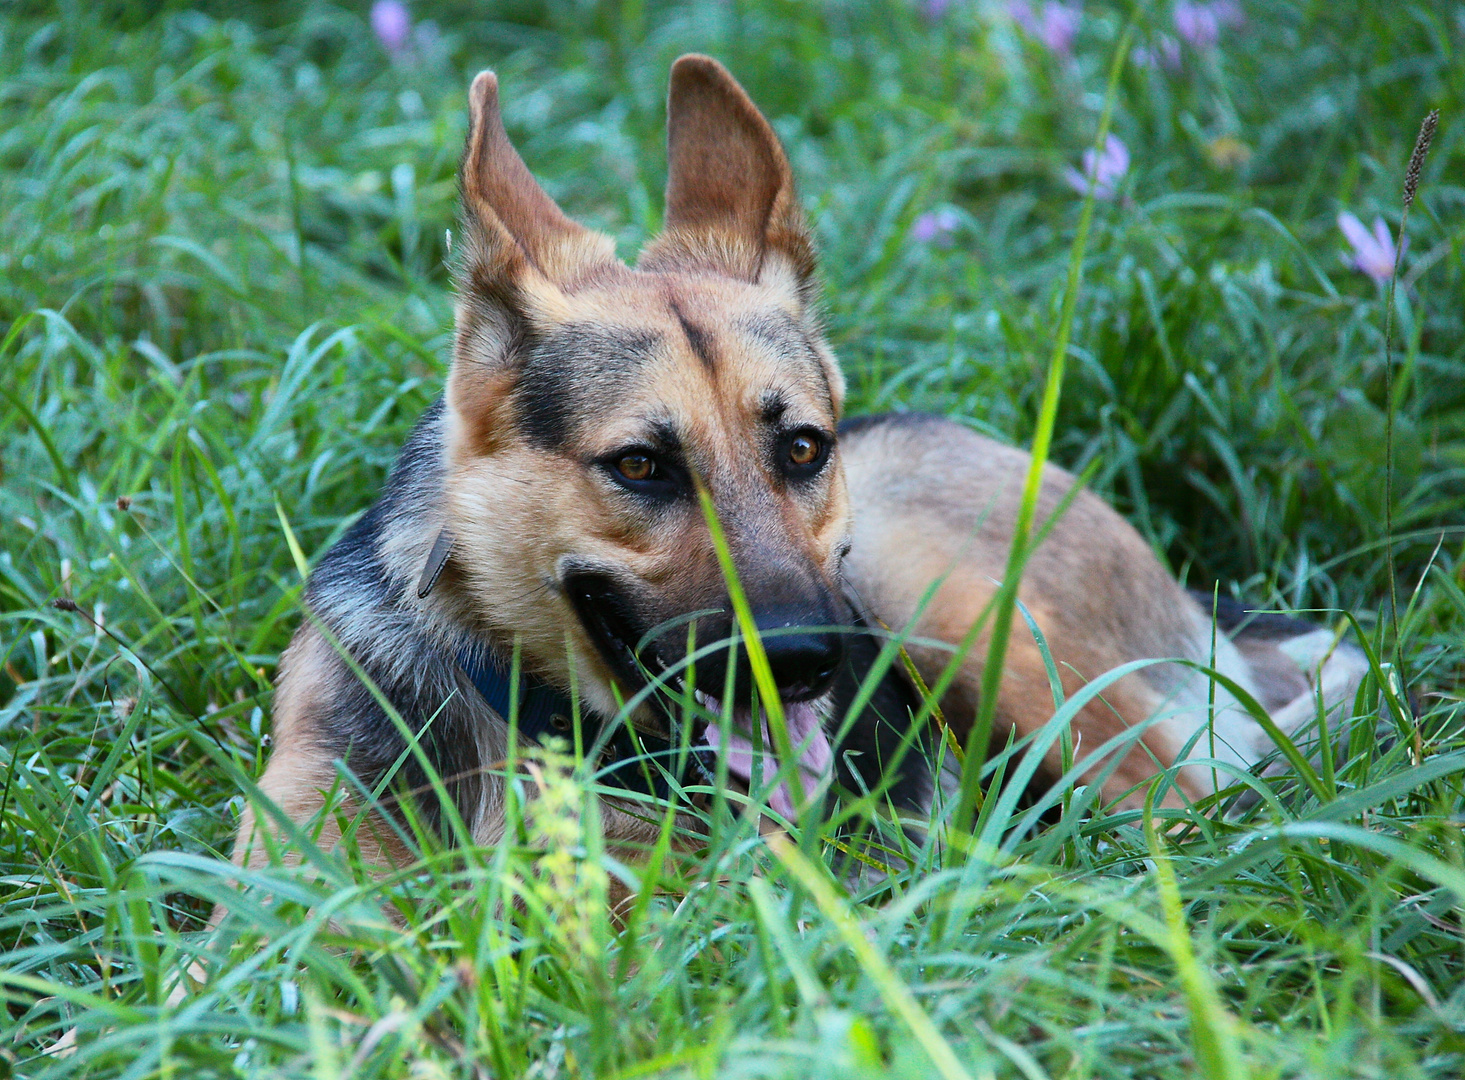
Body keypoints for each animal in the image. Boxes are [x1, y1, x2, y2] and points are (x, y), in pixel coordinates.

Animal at [231, 52, 1371, 879]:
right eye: (639, 465)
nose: (802, 665)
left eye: (803, 448)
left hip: (947, 605)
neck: (520, 702)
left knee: (1177, 811)